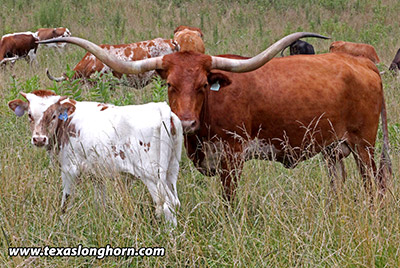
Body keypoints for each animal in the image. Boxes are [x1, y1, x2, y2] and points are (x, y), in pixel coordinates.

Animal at [8, 90, 183, 226]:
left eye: (53, 115)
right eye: (30, 115)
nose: (39, 139)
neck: (66, 122)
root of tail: (159, 107)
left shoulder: (69, 170)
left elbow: (65, 203)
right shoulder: (97, 173)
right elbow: (100, 202)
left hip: (151, 175)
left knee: (167, 204)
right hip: (171, 170)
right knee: (175, 201)